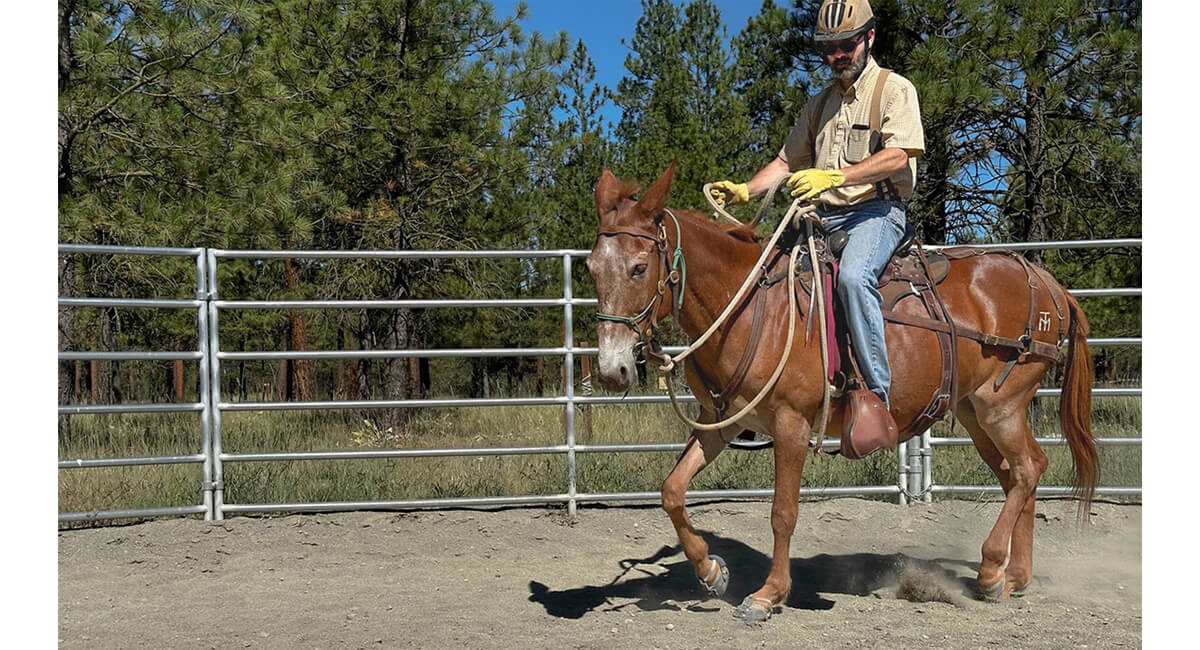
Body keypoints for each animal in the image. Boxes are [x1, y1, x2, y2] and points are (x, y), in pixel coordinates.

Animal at [583, 160, 1099, 623]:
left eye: (639, 267)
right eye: (590, 268)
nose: (611, 370)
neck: (751, 307)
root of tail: (1046, 283)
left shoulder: (791, 425)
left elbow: (783, 512)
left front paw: (769, 594)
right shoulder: (721, 422)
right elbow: (672, 490)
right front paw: (711, 571)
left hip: (1002, 405)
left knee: (1030, 468)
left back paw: (992, 571)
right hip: (975, 413)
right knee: (1016, 477)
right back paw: (1016, 577)